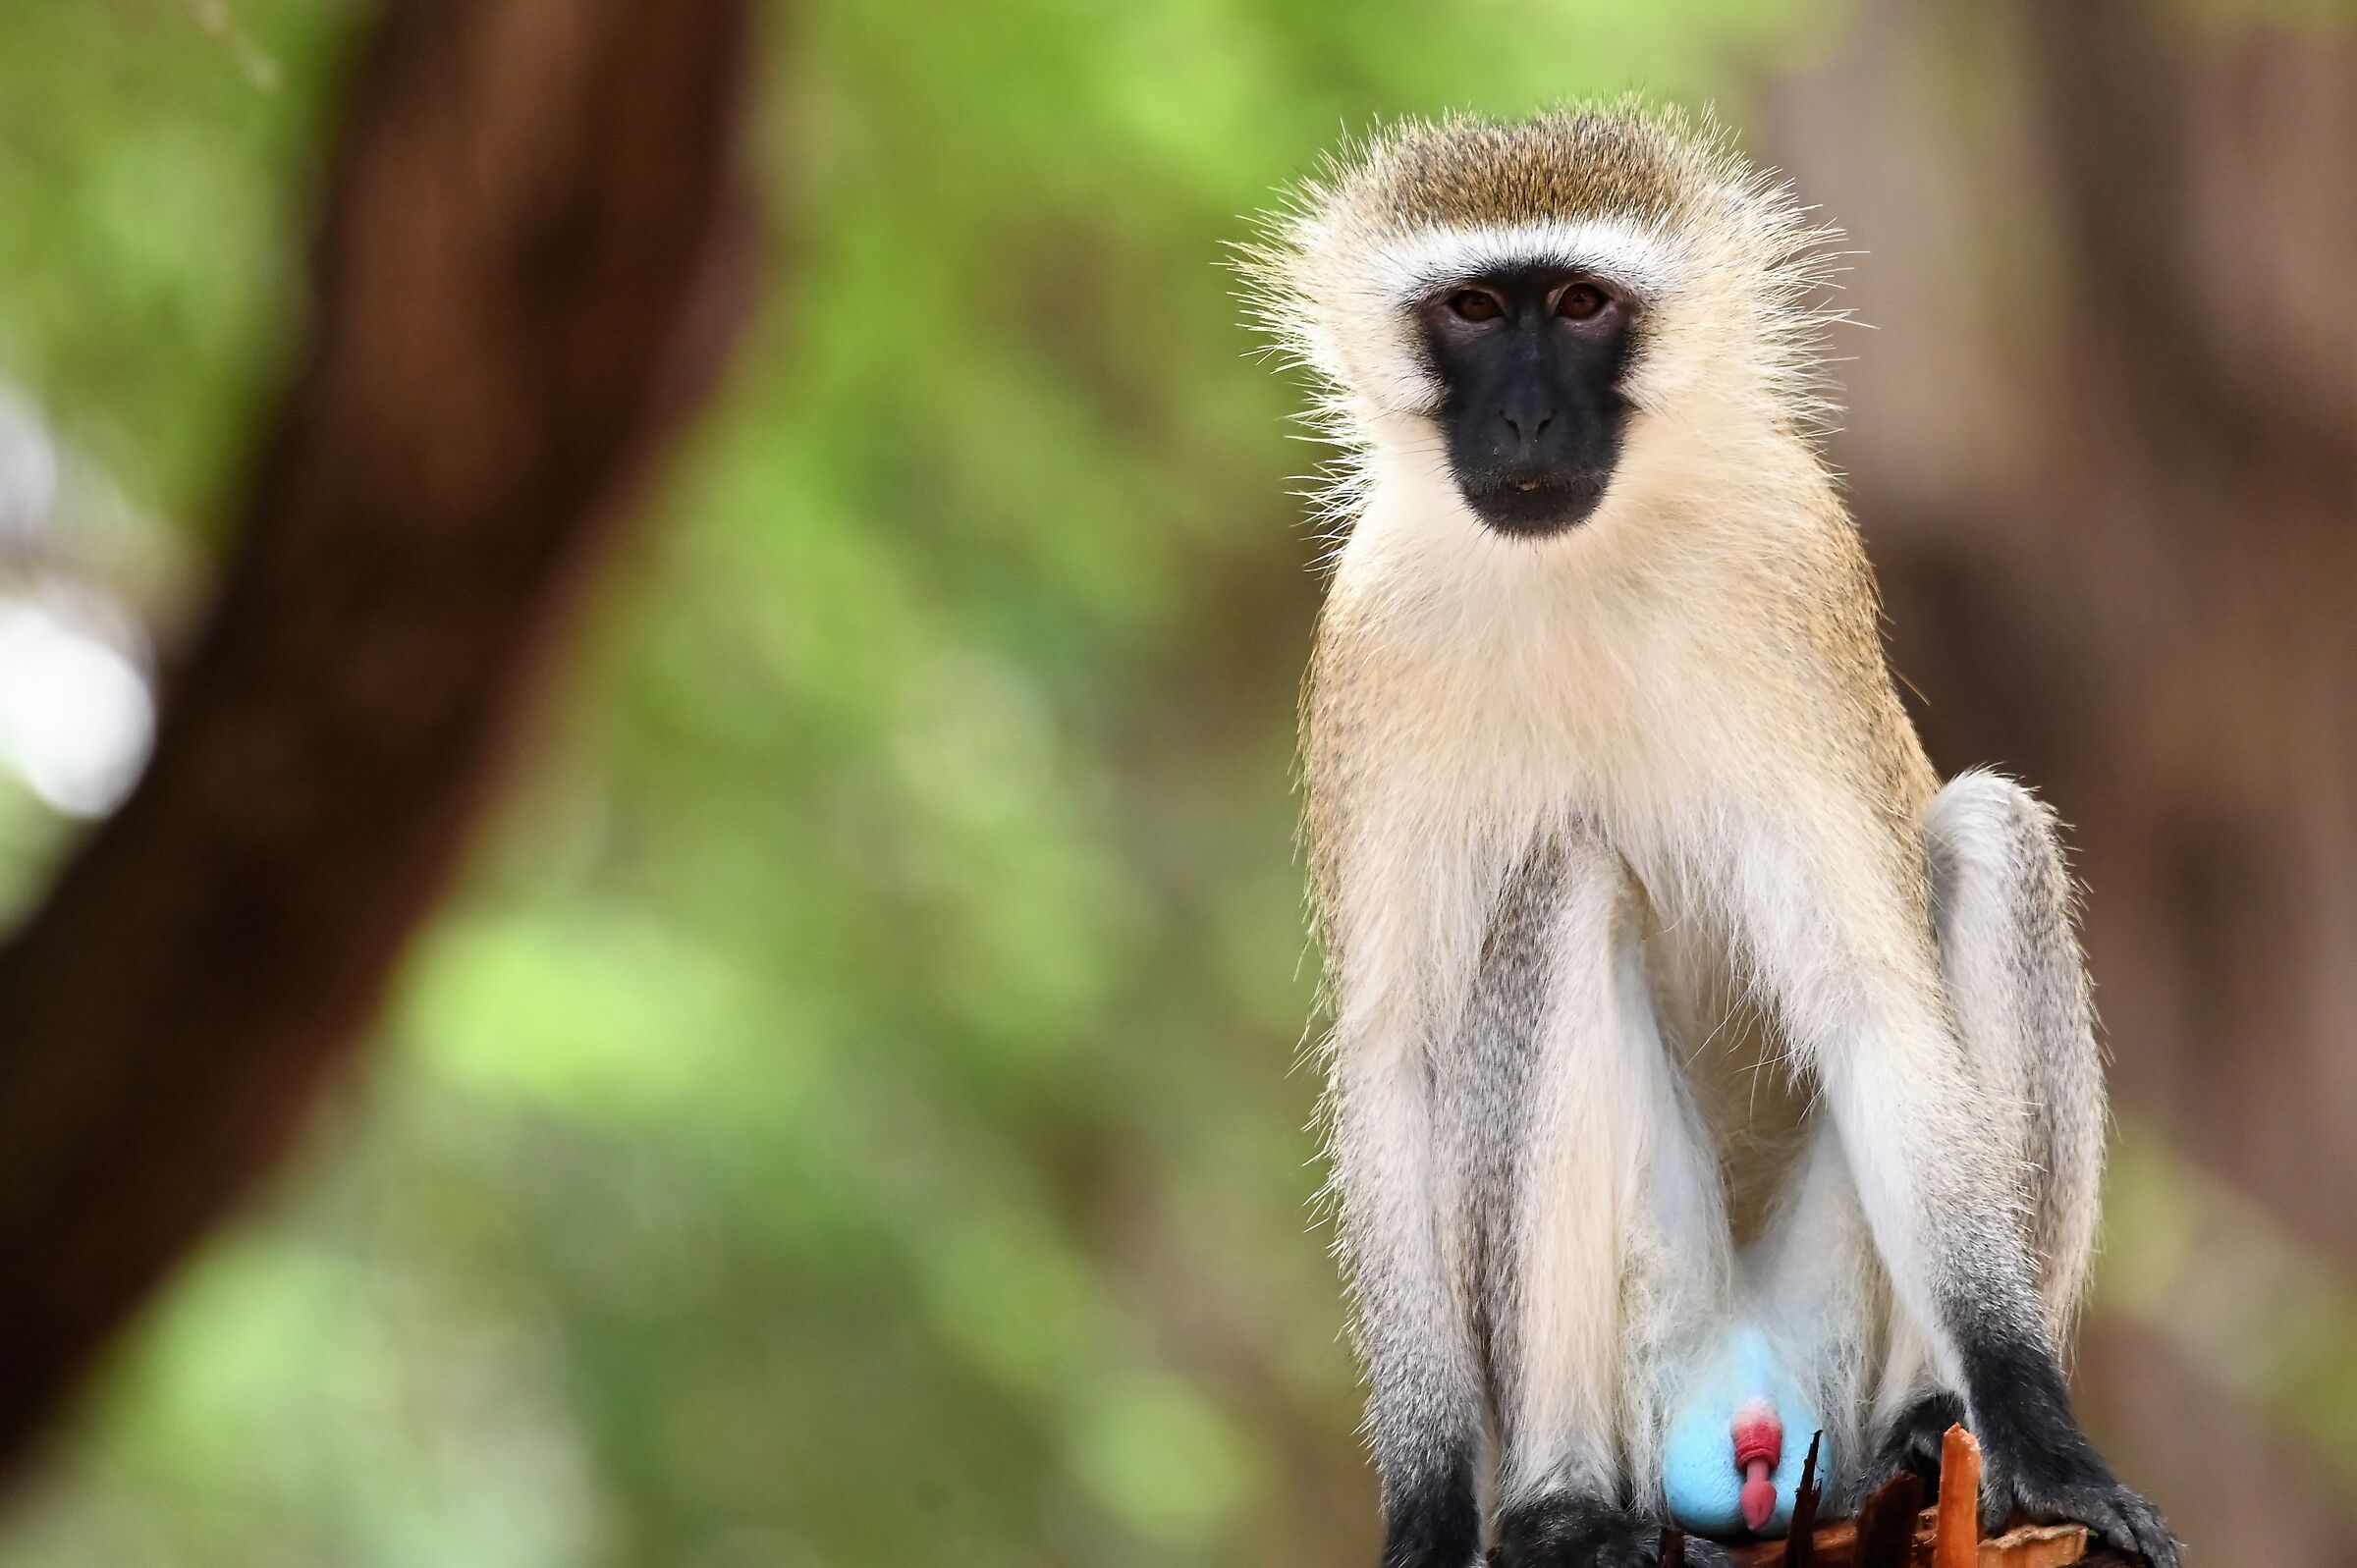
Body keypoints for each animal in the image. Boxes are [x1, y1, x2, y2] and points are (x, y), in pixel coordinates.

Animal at [1239, 104, 2179, 1568]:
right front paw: (1430, 1510)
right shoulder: (1370, 646)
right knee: (1563, 884)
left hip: (1831, 1331)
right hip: (1651, 1334)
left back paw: (1930, 1429)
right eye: (1471, 308)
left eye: (1581, 304)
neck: (1576, 560)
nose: (1525, 414)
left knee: (1990, 831)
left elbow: (1870, 999)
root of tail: (1747, 1406)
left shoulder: (1785, 572)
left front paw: (2049, 1442)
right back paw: (1563, 1506)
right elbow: (1390, 1060)